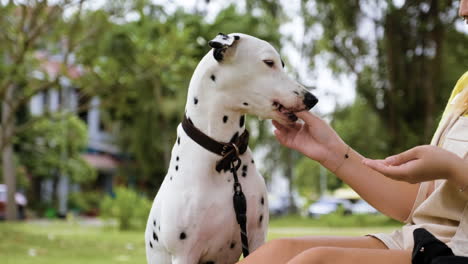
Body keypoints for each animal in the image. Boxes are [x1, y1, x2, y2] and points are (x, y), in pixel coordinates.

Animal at [144, 33, 316, 264]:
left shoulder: (257, 239)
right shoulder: (183, 255)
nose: (312, 99)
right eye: (268, 62)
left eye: (281, 64)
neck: (225, 155)